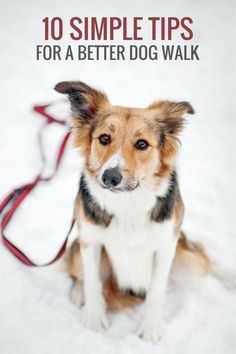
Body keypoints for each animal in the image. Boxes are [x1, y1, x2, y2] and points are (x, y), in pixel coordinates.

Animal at [54, 81, 209, 344]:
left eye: (142, 144)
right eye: (104, 138)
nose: (110, 177)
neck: (127, 202)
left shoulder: (167, 245)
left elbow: (157, 290)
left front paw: (150, 329)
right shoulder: (90, 239)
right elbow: (93, 281)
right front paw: (94, 318)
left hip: (189, 259)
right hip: (78, 245)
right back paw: (78, 294)